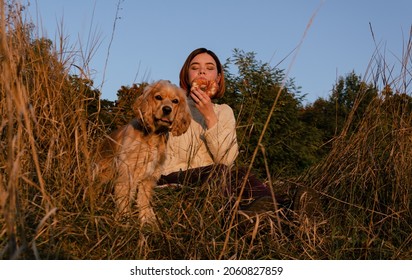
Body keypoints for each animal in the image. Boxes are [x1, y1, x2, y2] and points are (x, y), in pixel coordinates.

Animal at [96, 80, 192, 225]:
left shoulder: (150, 175)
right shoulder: (127, 170)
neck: (153, 137)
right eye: (158, 97)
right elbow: (124, 195)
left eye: (175, 101)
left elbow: (144, 198)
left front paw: (147, 219)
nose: (167, 109)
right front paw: (123, 217)